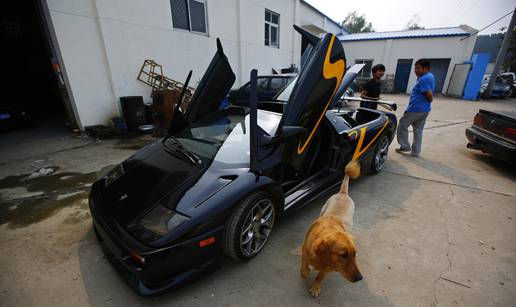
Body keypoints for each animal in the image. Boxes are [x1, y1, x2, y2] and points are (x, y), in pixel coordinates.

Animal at [300, 161, 360, 298]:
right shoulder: (304, 252)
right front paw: (306, 271)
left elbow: (320, 276)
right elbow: (304, 268)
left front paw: (316, 286)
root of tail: (343, 193)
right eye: (343, 255)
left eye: (355, 253)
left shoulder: (328, 268)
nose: (360, 278)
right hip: (323, 208)